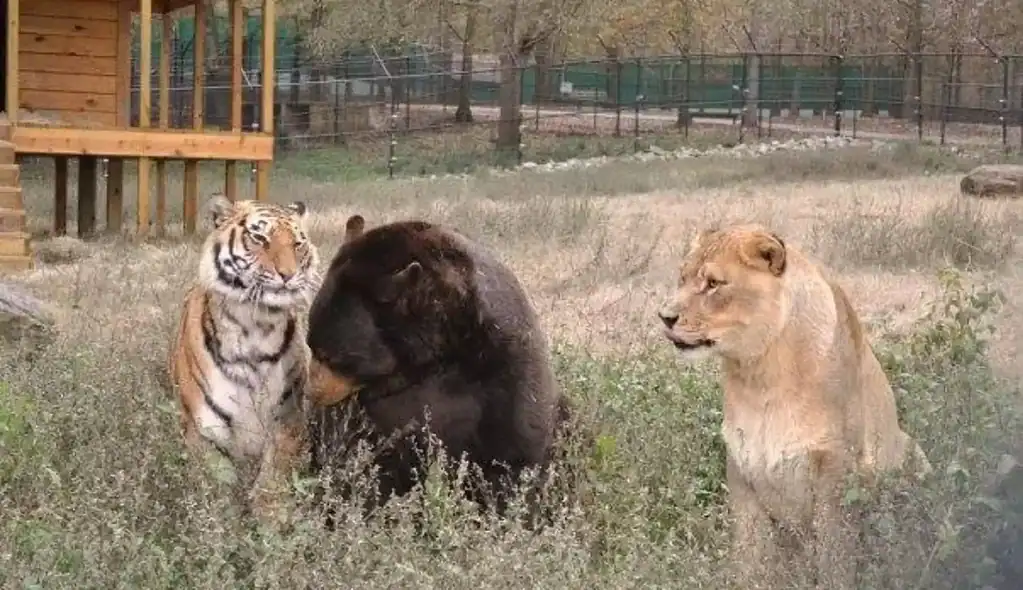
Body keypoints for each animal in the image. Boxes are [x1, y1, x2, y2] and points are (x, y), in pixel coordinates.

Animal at [167, 194, 321, 523]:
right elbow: (218, 491)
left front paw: (272, 524)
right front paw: (220, 527)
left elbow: (272, 481)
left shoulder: (287, 420)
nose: (288, 275)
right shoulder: (206, 431)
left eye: (297, 244)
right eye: (259, 238)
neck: (256, 326)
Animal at [657, 223, 932, 589]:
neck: (760, 375)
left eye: (713, 283)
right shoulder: (741, 471)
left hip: (914, 454)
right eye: (682, 278)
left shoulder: (835, 470)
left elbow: (835, 557)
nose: (664, 317)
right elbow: (750, 559)